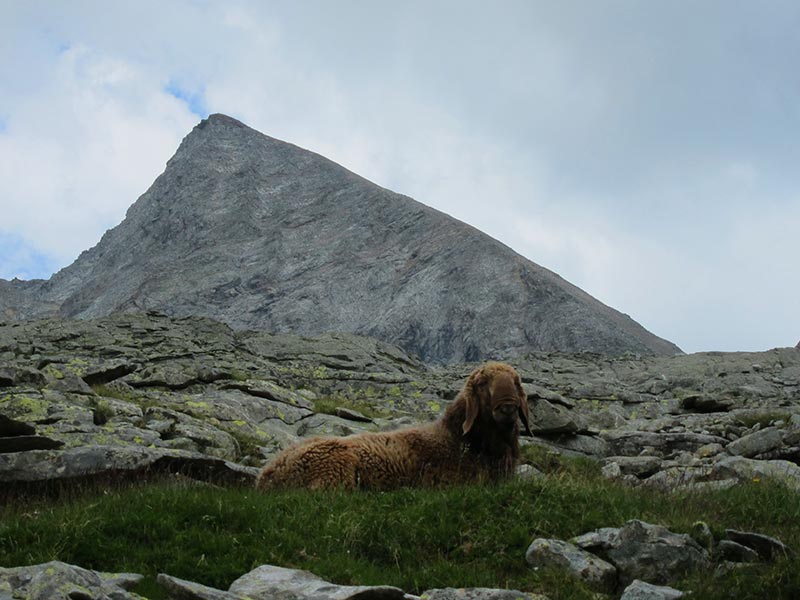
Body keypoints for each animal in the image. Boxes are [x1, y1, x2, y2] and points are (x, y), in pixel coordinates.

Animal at [256, 364, 532, 490]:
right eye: (483, 383)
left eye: (517, 382)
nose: (508, 407)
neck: (459, 440)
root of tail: (267, 475)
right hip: (336, 468)